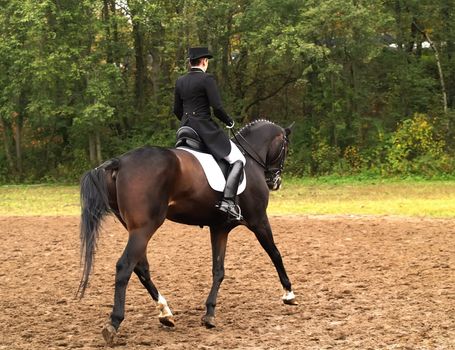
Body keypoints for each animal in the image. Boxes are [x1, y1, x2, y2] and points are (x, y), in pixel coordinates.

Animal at [77, 119, 300, 344]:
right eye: (286, 147)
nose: (275, 182)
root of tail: (119, 162)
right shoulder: (258, 221)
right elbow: (275, 254)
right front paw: (288, 293)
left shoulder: (219, 228)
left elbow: (218, 270)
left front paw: (209, 313)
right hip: (144, 228)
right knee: (125, 266)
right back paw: (114, 323)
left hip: (135, 229)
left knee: (141, 268)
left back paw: (165, 312)